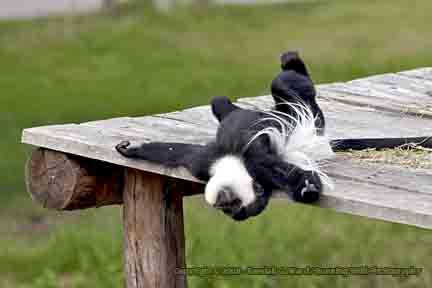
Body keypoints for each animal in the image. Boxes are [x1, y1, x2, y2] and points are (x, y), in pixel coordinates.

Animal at [115, 51, 432, 222]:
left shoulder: (256, 160)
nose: (236, 215)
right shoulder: (203, 163)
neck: (232, 162)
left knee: (283, 84)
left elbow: (288, 172)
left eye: (230, 207)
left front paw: (307, 188)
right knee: (221, 102)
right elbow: (181, 153)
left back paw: (292, 62)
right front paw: (130, 149)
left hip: (307, 112)